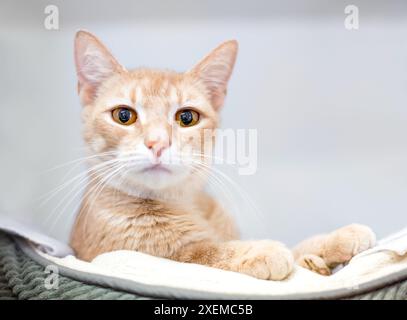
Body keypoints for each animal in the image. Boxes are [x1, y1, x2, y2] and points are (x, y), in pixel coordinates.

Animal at [70, 30, 376, 280]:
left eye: (187, 118)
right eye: (124, 116)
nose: (157, 143)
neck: (185, 204)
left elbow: (297, 248)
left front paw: (334, 241)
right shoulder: (144, 255)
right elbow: (206, 254)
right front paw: (259, 251)